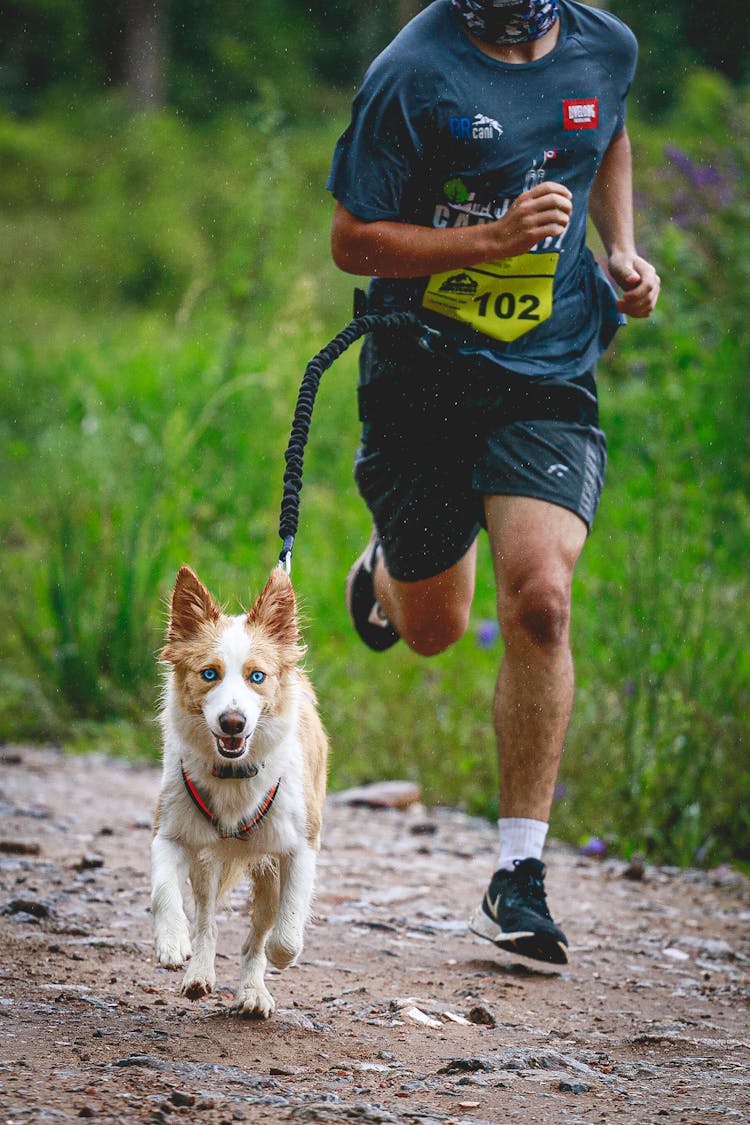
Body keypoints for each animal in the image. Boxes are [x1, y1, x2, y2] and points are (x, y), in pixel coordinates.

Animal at [150, 567, 326, 1017]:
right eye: (209, 673)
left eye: (256, 676)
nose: (233, 722)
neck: (232, 775)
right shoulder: (170, 832)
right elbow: (164, 892)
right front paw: (171, 942)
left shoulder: (300, 845)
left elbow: (285, 932)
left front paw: (282, 955)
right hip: (206, 864)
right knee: (207, 919)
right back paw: (198, 975)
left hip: (267, 872)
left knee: (258, 935)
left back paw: (252, 993)